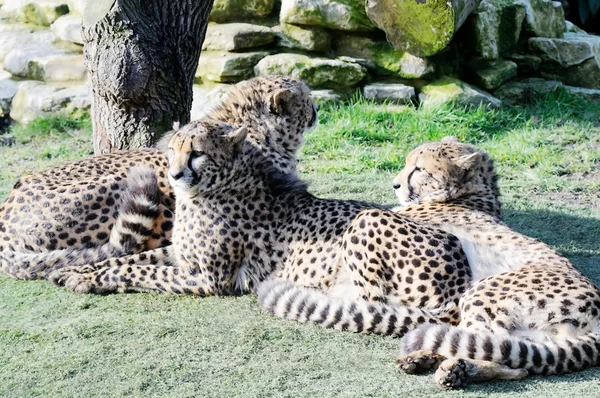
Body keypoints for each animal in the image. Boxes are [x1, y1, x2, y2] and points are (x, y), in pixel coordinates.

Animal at [50, 119, 468, 334]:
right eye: (172, 149)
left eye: (196, 153)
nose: (174, 174)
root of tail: (462, 278)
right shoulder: (179, 255)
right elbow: (129, 259)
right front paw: (76, 270)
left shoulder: (209, 280)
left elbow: (139, 272)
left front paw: (86, 278)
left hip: (367, 222)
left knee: (374, 304)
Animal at [386, 137, 596, 388]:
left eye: (419, 169)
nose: (395, 185)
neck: (470, 193)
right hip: (534, 335)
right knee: (512, 359)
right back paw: (429, 360)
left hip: (482, 292)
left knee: (494, 349)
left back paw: (452, 368)